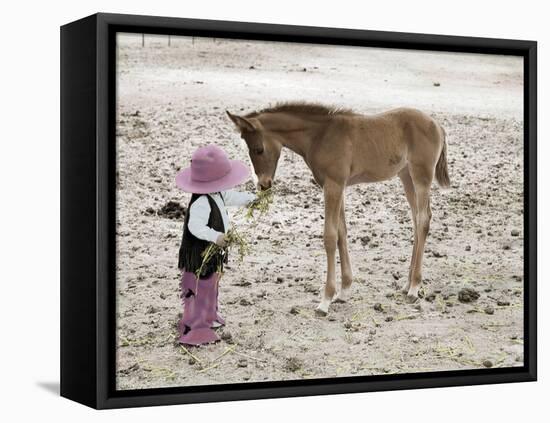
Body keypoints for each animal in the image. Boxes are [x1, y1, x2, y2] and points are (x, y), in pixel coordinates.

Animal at [226, 102, 450, 314]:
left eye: (259, 149)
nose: (263, 185)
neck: (320, 136)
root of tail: (437, 125)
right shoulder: (339, 186)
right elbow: (342, 232)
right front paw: (344, 291)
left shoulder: (333, 185)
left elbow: (330, 237)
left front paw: (325, 300)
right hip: (406, 176)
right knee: (416, 219)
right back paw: (407, 284)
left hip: (421, 176)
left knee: (423, 220)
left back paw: (414, 287)